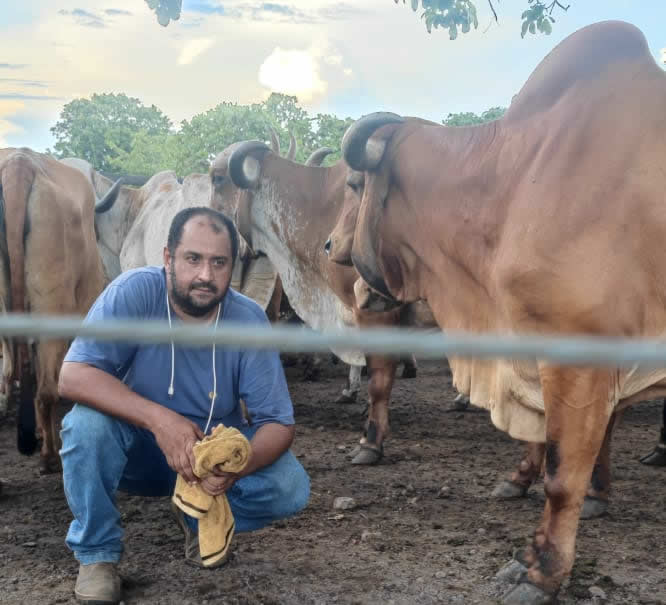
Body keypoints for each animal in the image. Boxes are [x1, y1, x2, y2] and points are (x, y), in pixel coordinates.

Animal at [326, 18, 664, 600]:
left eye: (353, 183)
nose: (328, 245)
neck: (512, 180)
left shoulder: (580, 355)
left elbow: (562, 475)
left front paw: (543, 571)